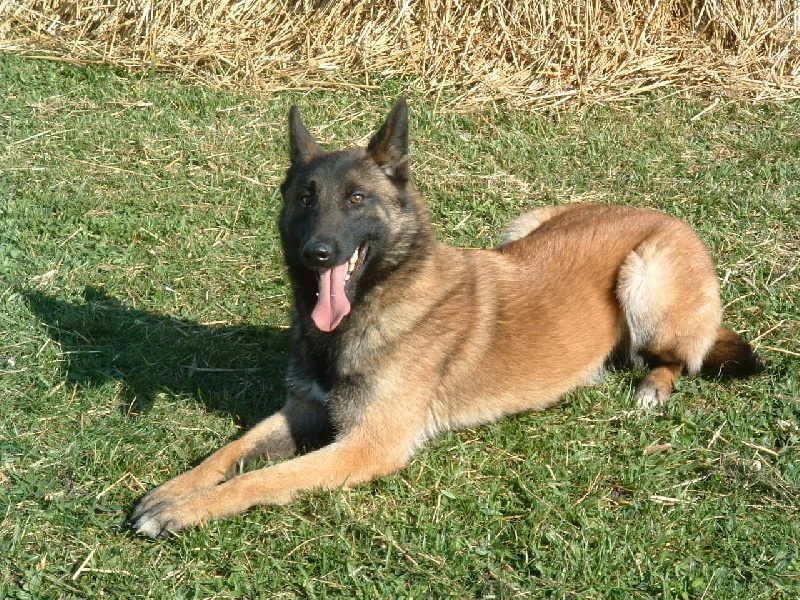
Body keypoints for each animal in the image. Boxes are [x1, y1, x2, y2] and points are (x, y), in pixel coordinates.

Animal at [132, 98, 760, 537]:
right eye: (306, 198)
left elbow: (261, 478)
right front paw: (172, 491)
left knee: (681, 357)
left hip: (645, 276)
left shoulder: (366, 446)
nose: (318, 254)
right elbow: (231, 452)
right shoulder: (305, 409)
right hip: (522, 227)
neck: (374, 304)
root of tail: (662, 215)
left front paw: (184, 512)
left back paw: (652, 386)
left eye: (357, 199)